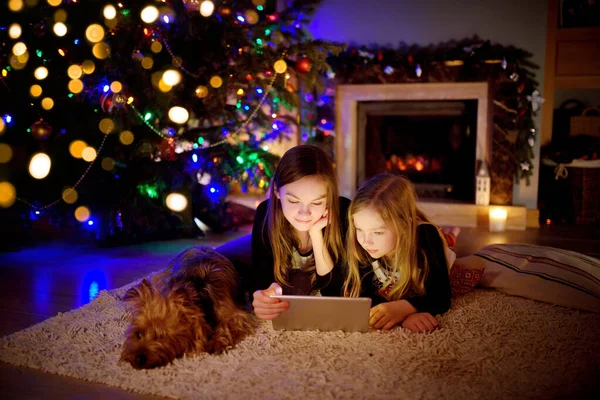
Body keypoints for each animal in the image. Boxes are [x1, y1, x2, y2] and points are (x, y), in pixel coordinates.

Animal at [120, 245, 254, 370]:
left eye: (163, 336)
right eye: (138, 334)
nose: (138, 358)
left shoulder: (235, 313)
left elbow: (228, 324)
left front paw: (217, 341)